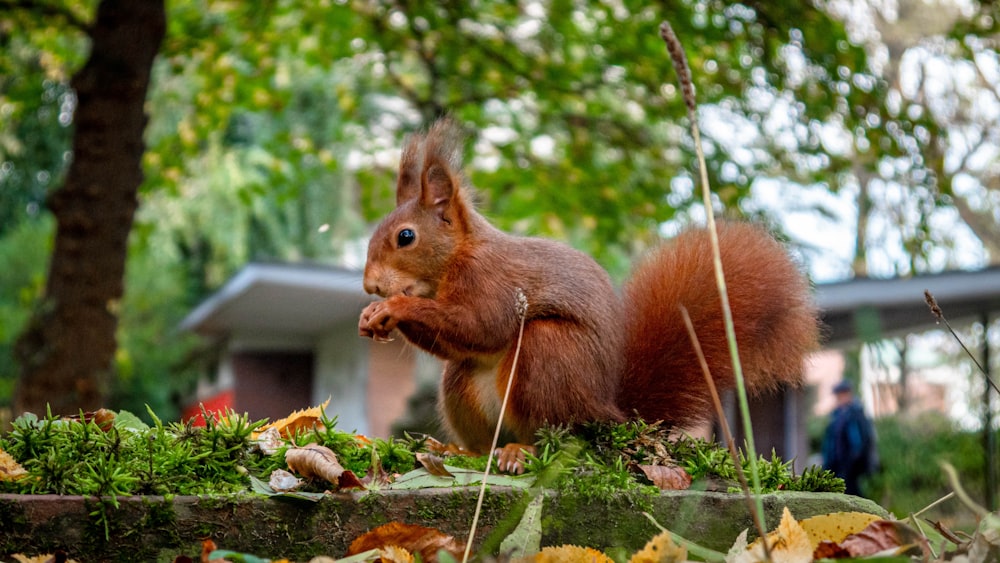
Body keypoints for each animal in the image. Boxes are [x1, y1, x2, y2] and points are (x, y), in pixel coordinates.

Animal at [360, 121, 820, 474]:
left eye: (406, 237)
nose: (370, 286)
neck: (457, 256)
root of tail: (606, 412)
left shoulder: (492, 282)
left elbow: (481, 326)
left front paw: (393, 308)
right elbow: (460, 339)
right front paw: (370, 316)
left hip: (548, 355)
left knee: (557, 436)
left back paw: (520, 452)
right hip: (461, 385)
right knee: (481, 432)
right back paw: (458, 449)